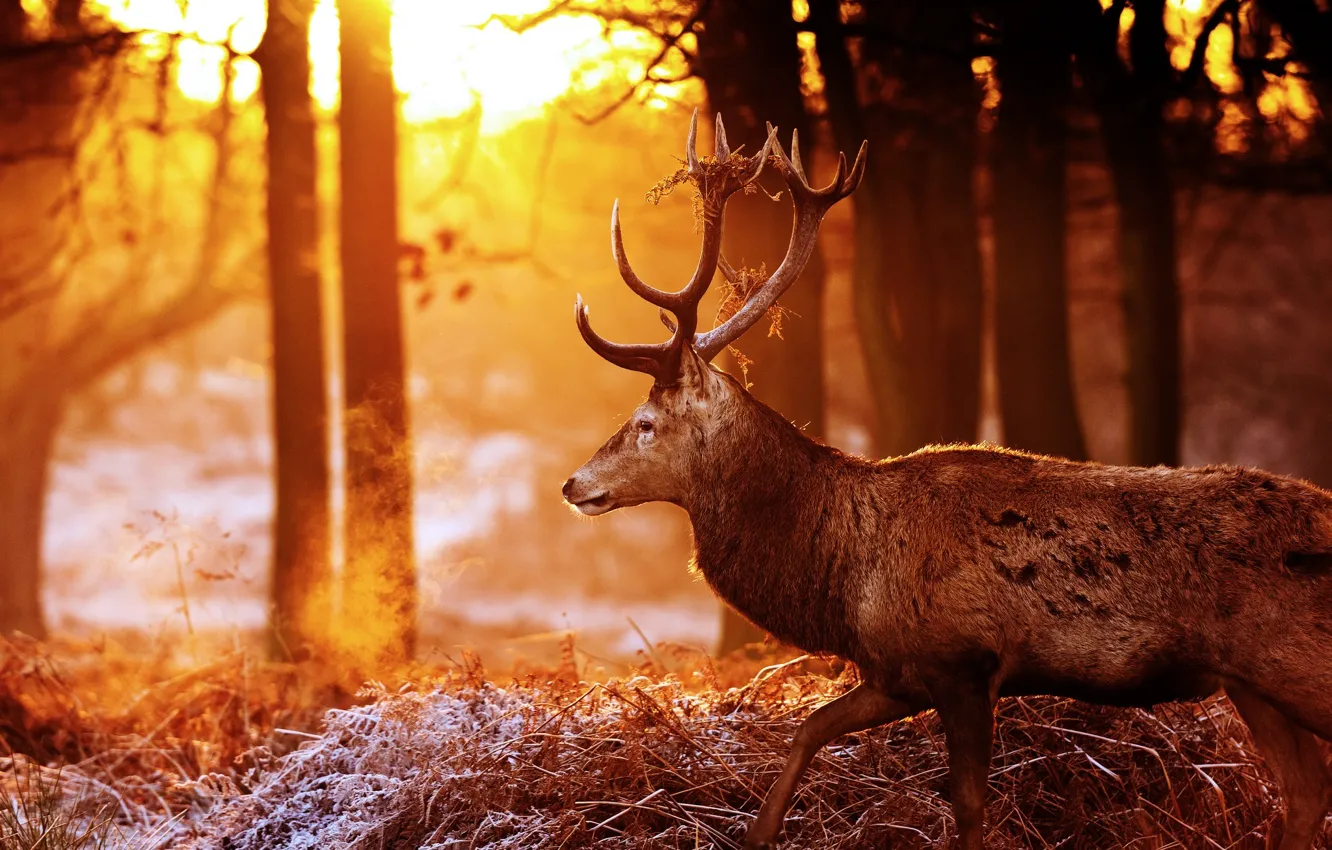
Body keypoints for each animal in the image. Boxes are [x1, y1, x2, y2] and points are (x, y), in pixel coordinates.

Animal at [561, 111, 1332, 850]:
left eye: (645, 423)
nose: (573, 484)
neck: (845, 574)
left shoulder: (964, 662)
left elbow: (967, 808)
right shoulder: (896, 670)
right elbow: (809, 728)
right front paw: (760, 831)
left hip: (1296, 663)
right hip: (1252, 684)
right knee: (1305, 794)